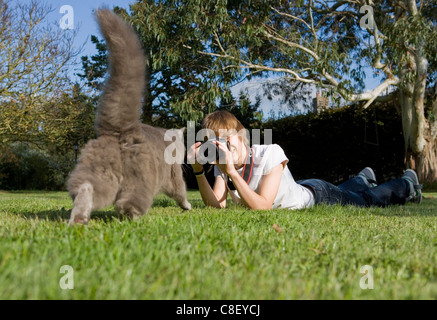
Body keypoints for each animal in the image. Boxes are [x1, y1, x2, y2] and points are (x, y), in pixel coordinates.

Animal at [67, 9, 190, 225]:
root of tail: (120, 131)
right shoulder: (175, 175)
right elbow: (181, 192)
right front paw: (187, 206)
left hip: (100, 173)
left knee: (86, 188)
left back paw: (78, 220)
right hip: (138, 181)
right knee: (129, 203)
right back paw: (133, 218)